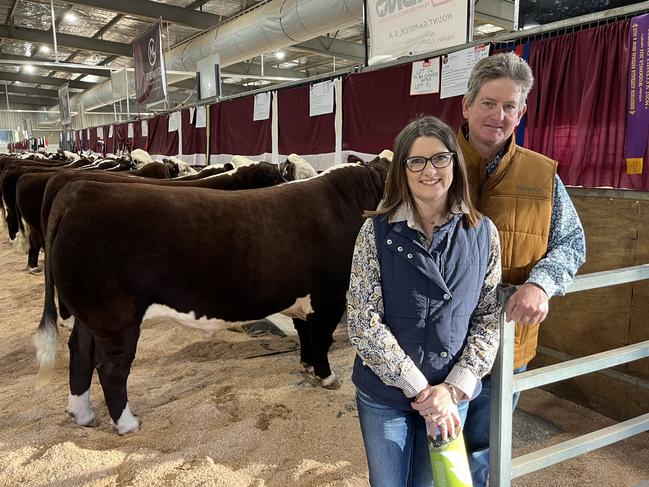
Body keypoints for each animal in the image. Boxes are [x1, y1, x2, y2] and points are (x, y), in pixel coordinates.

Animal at [35, 157, 388, 434]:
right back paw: (127, 424)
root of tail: (81, 191)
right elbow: (322, 339)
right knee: (111, 367)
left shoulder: (299, 297)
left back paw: (82, 414)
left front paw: (307, 366)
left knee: (80, 352)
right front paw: (326, 377)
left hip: (90, 316)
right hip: (116, 318)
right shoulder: (331, 296)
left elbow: (305, 334)